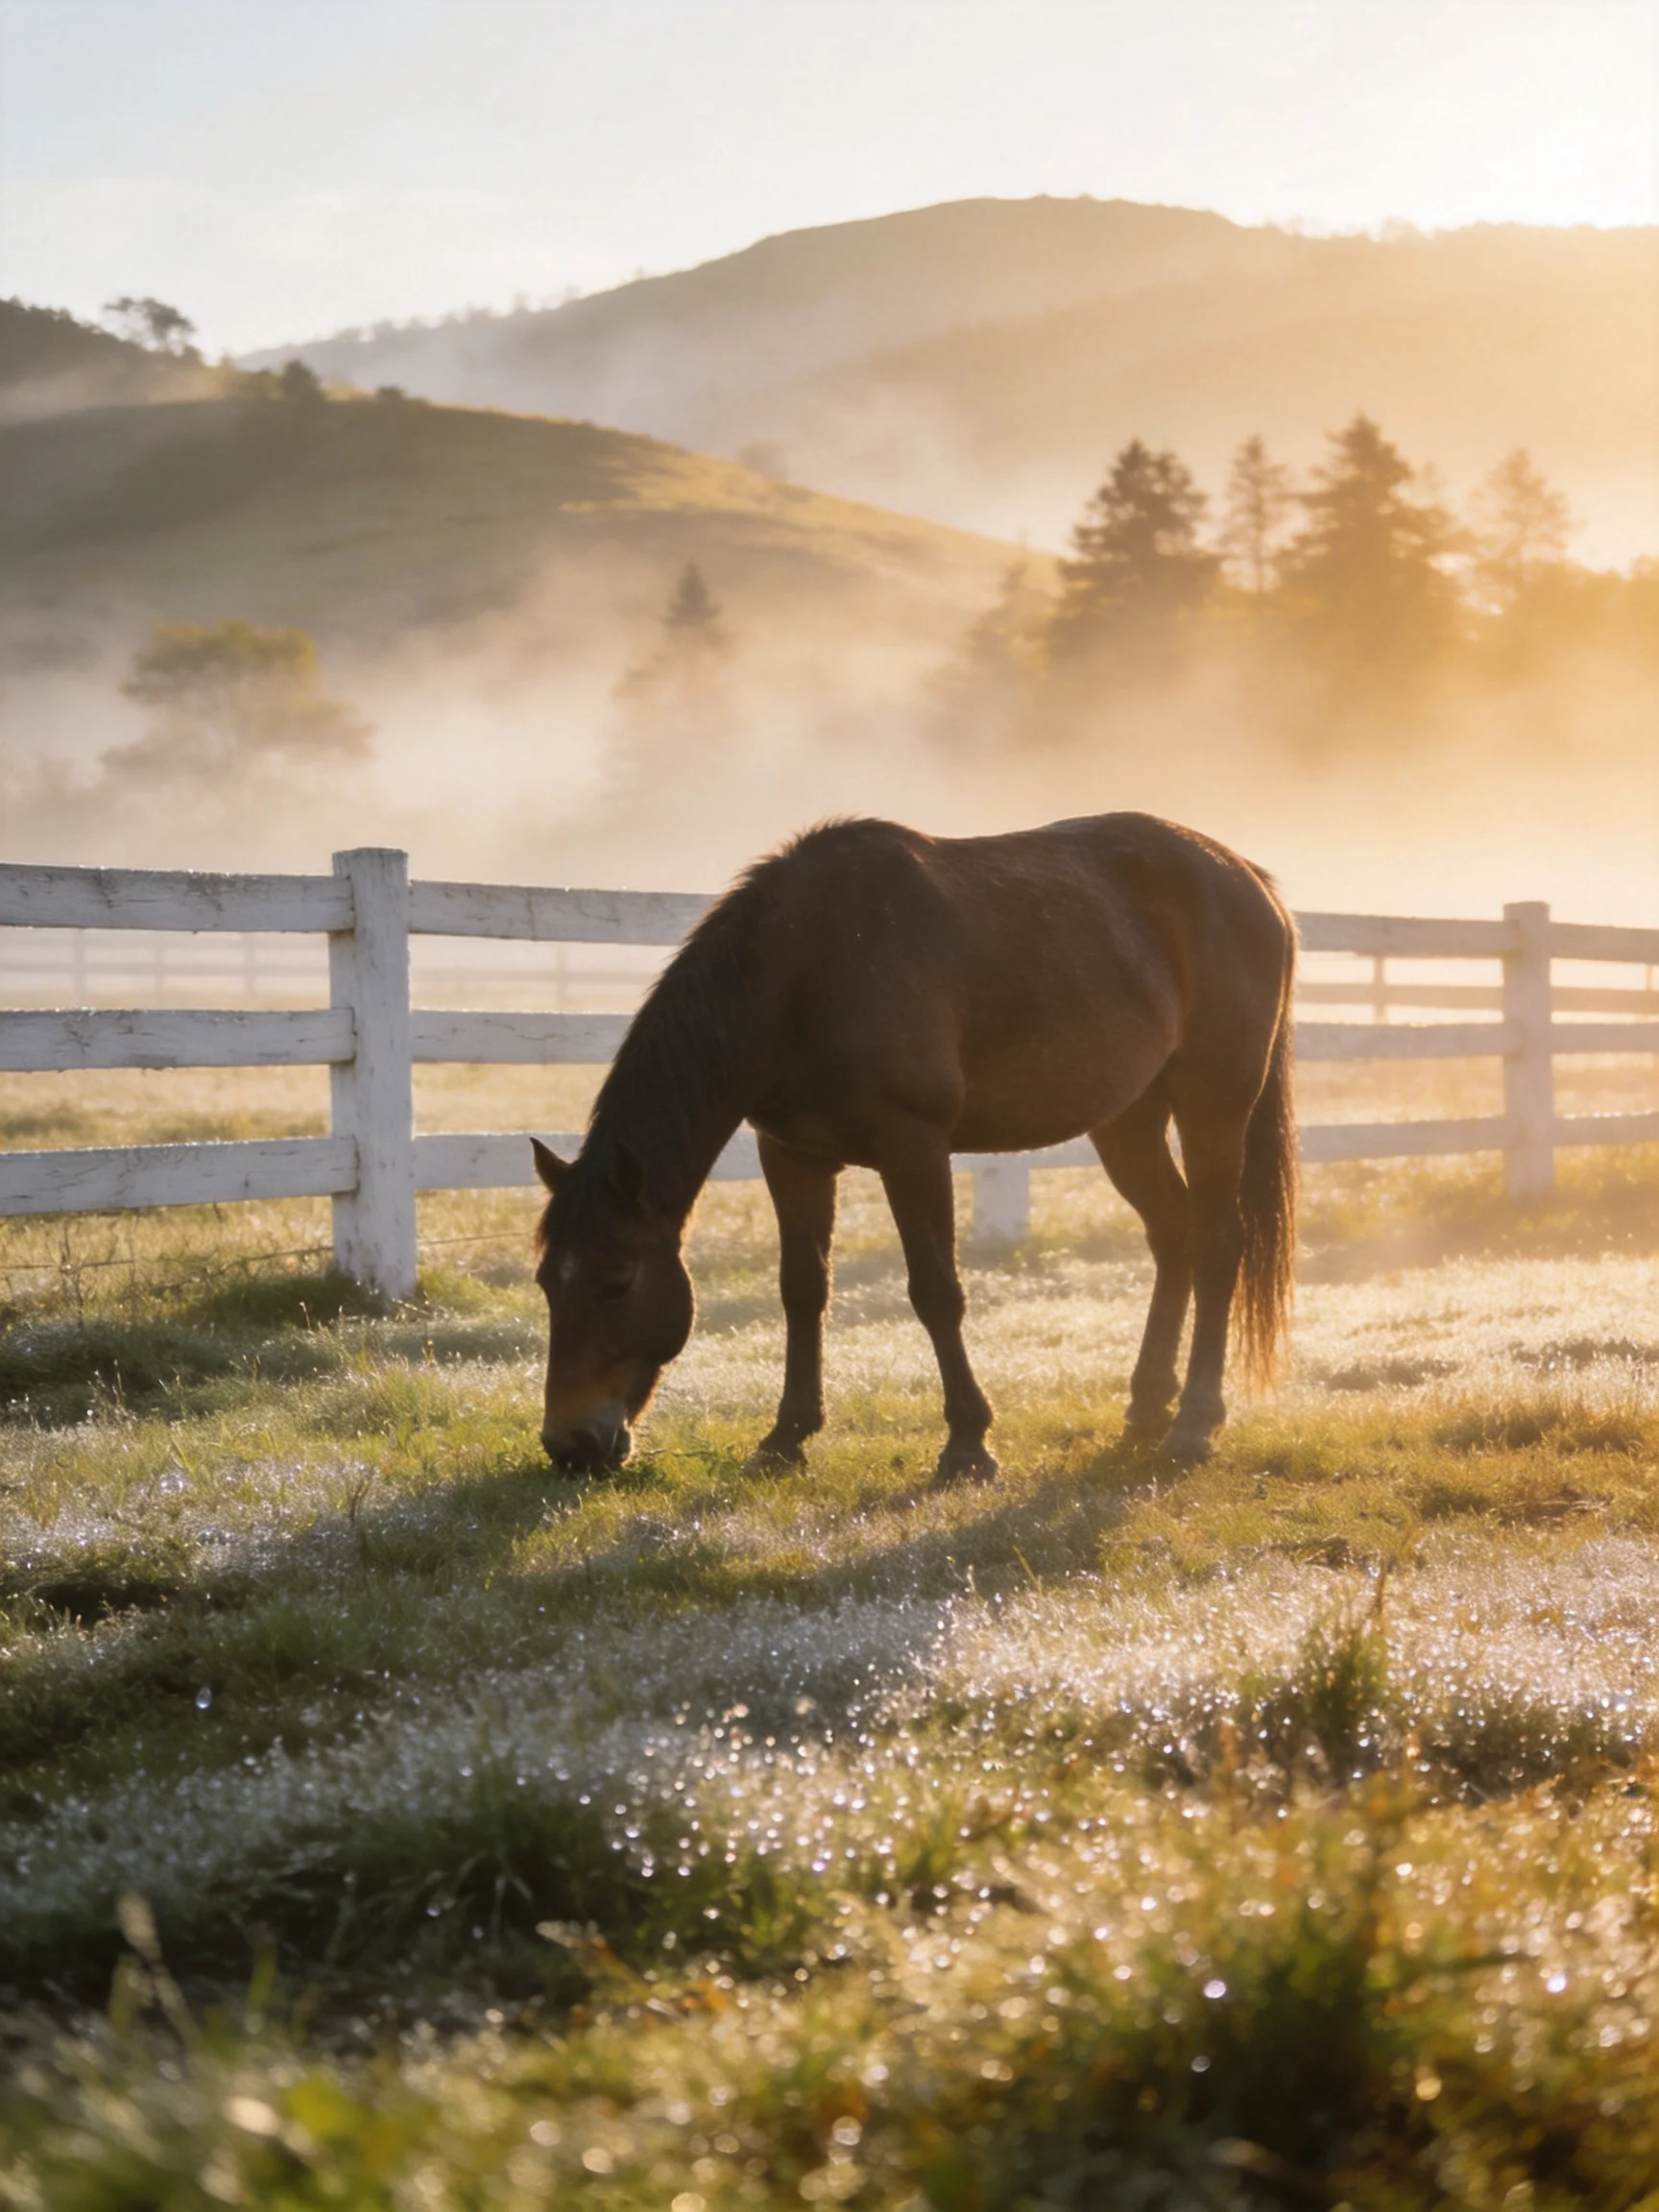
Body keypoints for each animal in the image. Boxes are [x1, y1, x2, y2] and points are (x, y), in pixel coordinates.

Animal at [532, 812, 1296, 1482]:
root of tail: (1249, 881)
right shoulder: (792, 1157)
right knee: (1171, 1235)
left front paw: (967, 1445)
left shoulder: (914, 1150)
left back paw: (1193, 1423)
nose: (570, 1445)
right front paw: (786, 1438)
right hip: (1128, 1120)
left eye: (616, 1281)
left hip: (1214, 1104)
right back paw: (1146, 1405)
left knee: (1217, 1242)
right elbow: (802, 1289)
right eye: (546, 1283)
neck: (807, 967)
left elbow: (936, 1291)